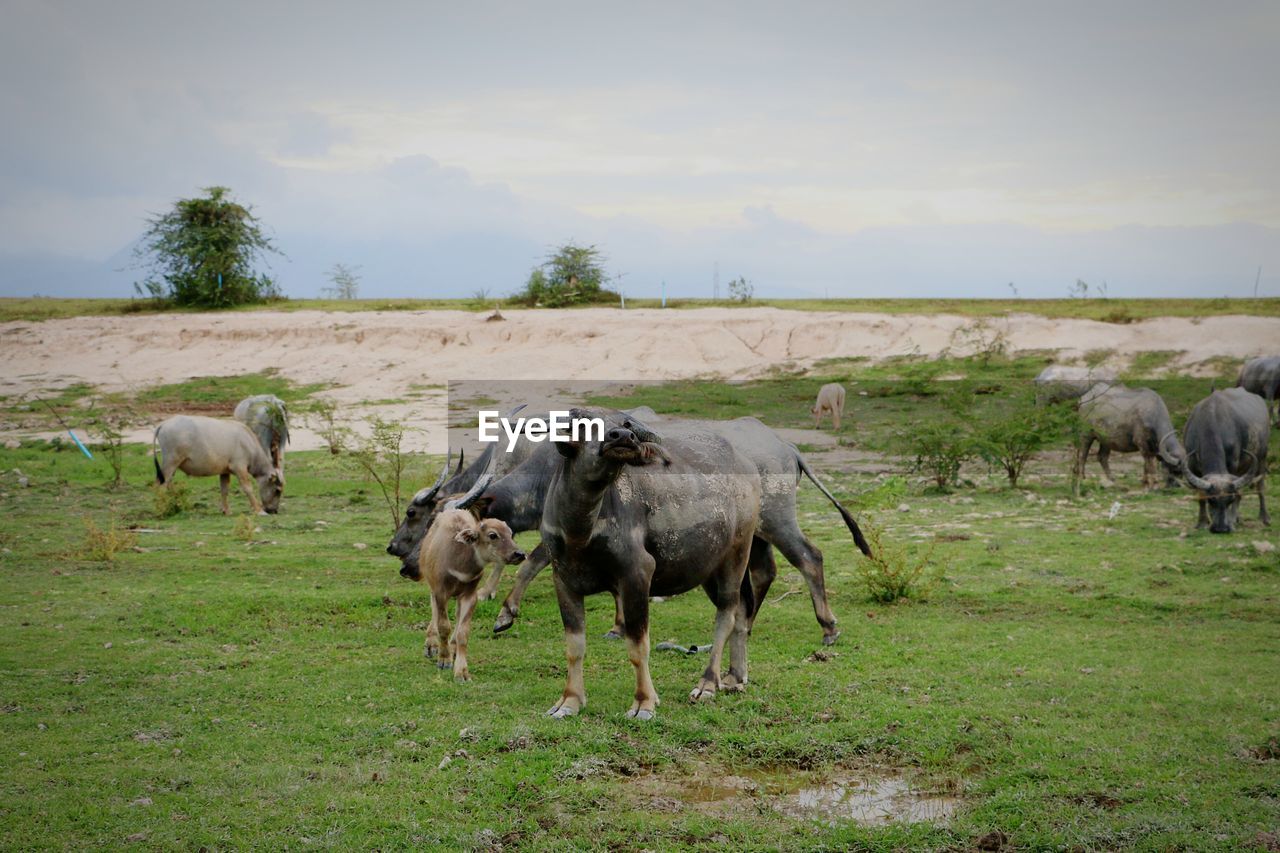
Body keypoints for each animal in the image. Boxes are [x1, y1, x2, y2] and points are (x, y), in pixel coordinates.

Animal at [153, 412, 284, 512]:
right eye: (277, 490)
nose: (274, 511)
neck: (248, 442)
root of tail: (163, 424)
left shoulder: (225, 472)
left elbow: (224, 490)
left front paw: (226, 511)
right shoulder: (240, 468)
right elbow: (248, 488)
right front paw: (258, 510)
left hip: (173, 466)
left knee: (167, 484)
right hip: (170, 463)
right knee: (162, 485)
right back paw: (162, 508)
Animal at [409, 507, 529, 681]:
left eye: (509, 532)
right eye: (493, 535)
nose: (519, 554)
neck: (459, 565)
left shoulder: (470, 595)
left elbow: (463, 632)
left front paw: (461, 672)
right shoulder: (441, 592)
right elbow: (444, 626)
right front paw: (443, 660)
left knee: (457, 618)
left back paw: (452, 649)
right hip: (432, 586)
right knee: (434, 611)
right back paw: (431, 646)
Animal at [540, 404, 757, 717]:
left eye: (626, 423)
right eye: (583, 423)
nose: (622, 437)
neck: (579, 532)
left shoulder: (637, 573)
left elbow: (637, 645)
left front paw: (644, 702)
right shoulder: (563, 579)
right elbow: (574, 646)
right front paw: (569, 701)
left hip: (738, 551)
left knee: (727, 614)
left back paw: (707, 683)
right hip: (710, 568)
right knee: (740, 610)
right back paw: (734, 677)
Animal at [1177, 386, 1269, 532]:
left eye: (1229, 500)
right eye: (1211, 500)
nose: (1221, 528)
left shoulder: (1232, 464)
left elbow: (1237, 494)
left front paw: (1230, 520)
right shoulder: (1192, 466)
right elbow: (1200, 495)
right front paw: (1202, 522)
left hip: (1262, 457)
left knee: (1259, 485)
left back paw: (1263, 517)